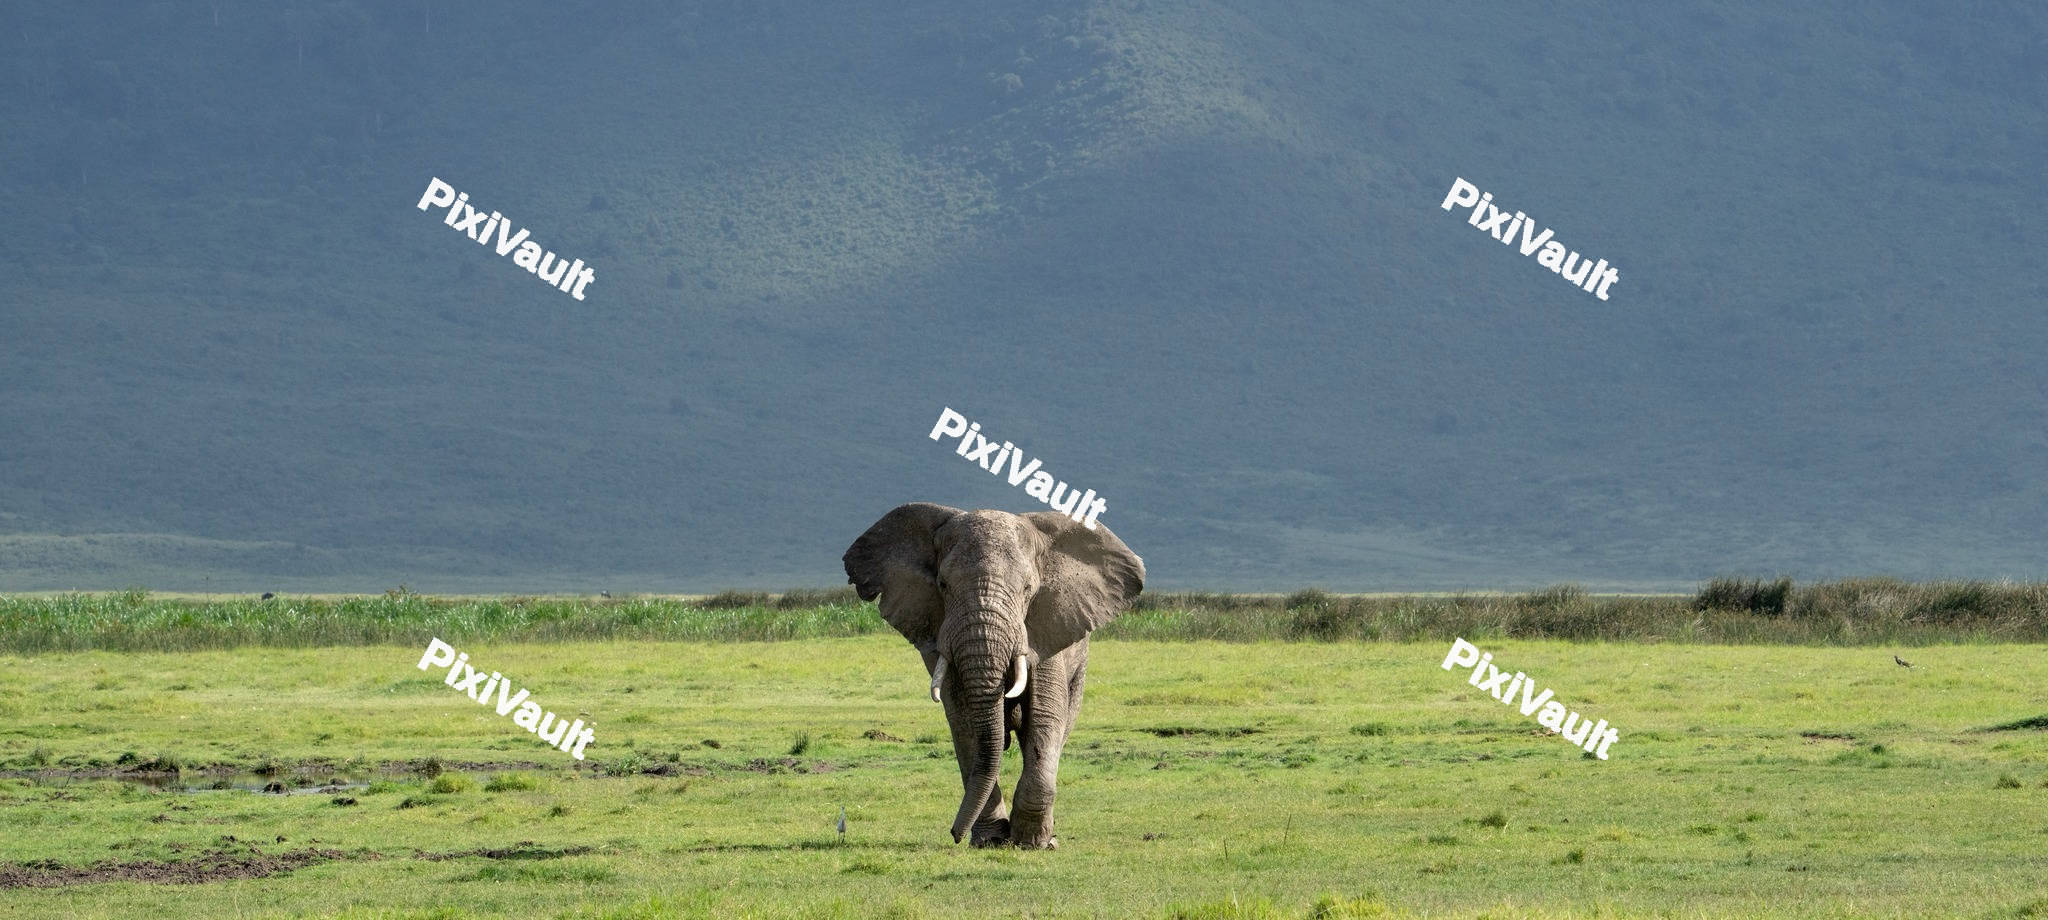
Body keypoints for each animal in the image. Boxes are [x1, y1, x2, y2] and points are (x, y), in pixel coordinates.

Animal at [843, 502, 1145, 849]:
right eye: (943, 585)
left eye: (1029, 589)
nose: (954, 834)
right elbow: (965, 723)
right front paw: (991, 840)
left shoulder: (1045, 628)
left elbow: (1045, 717)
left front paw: (1033, 843)